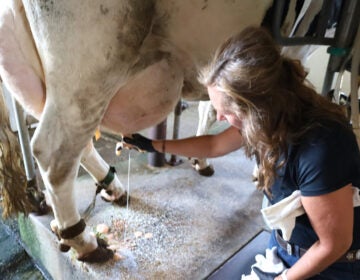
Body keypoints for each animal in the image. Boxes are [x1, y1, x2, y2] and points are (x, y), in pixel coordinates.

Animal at [0, 0, 324, 262]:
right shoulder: (296, 45)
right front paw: (262, 173)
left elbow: (214, 110)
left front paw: (202, 162)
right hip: (91, 65)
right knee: (54, 152)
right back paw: (85, 242)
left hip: (32, 79)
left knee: (78, 144)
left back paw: (112, 189)